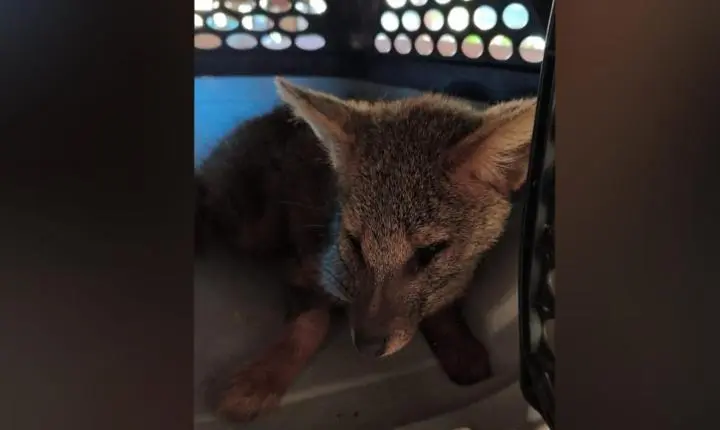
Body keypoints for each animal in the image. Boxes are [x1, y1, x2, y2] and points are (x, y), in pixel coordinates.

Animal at [195, 77, 537, 422]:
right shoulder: (305, 269)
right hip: (251, 228)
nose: (367, 347)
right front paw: (262, 377)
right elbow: (310, 323)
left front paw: (459, 345)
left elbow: (444, 308)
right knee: (204, 191)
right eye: (354, 242)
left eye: (430, 251)